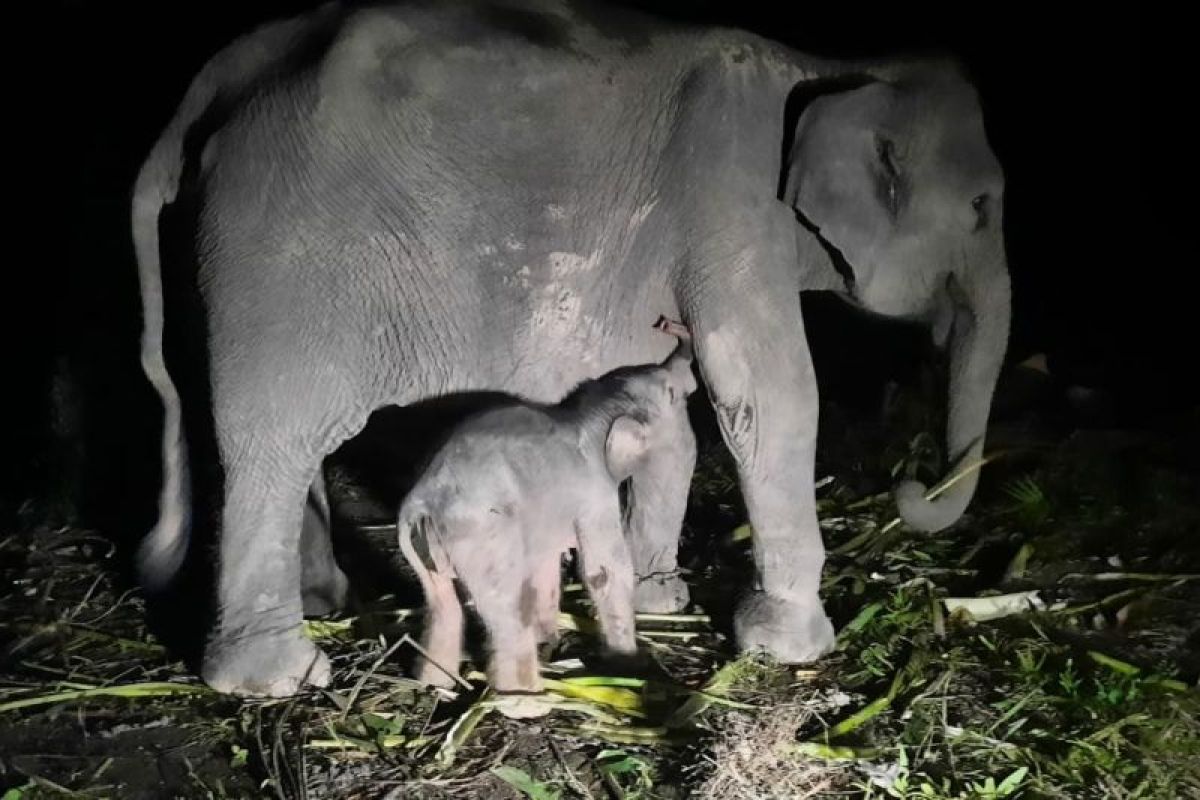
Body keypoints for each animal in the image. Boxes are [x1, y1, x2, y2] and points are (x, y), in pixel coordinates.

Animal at [396, 316, 696, 695]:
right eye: (671, 393)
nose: (669, 325)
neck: (591, 415)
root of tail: (425, 506)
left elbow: (545, 564)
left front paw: (550, 639)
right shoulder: (593, 494)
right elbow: (605, 570)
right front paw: (628, 662)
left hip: (420, 550)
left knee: (442, 604)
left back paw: (435, 685)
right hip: (484, 540)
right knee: (508, 610)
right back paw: (522, 694)